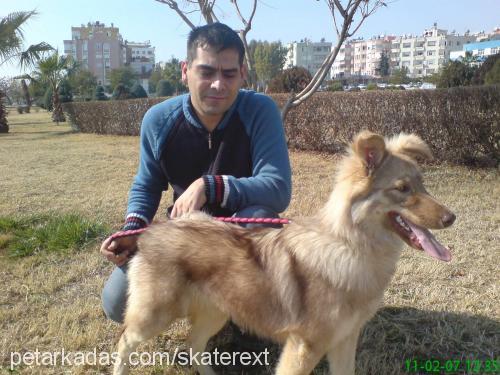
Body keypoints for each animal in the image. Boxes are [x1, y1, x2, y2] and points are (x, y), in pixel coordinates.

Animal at [111, 131, 456, 374]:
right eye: (402, 189)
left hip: (216, 312)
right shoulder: (304, 347)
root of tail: (154, 230)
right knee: (125, 340)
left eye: (422, 185)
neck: (351, 246)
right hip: (154, 315)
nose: (451, 218)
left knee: (194, 345)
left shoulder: (345, 340)